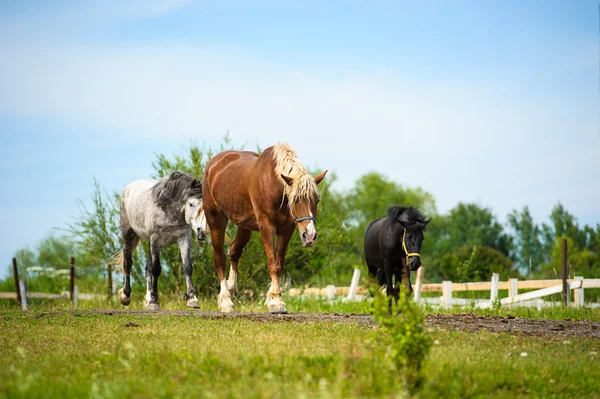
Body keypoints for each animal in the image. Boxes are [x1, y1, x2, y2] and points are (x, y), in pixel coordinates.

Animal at [112, 171, 209, 310]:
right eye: (191, 204)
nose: (202, 231)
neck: (167, 209)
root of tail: (128, 188)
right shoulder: (155, 240)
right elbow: (156, 269)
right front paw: (154, 301)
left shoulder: (184, 238)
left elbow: (187, 267)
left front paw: (192, 299)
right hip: (128, 234)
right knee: (128, 263)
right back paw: (126, 296)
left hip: (148, 242)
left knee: (147, 269)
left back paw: (147, 300)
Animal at [203, 145, 328, 314]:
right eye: (296, 199)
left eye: (317, 200)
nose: (309, 236)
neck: (273, 185)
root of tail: (213, 165)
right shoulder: (266, 226)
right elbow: (273, 264)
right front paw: (276, 302)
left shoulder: (286, 230)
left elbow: (280, 263)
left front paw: (272, 297)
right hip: (216, 220)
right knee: (219, 257)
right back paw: (226, 301)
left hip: (244, 226)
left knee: (234, 251)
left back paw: (231, 288)